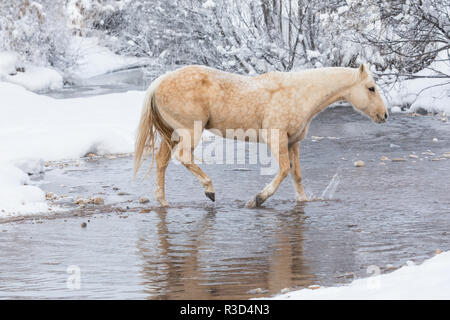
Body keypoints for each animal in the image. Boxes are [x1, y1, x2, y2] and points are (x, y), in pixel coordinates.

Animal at [134, 64, 386, 208]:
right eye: (371, 88)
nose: (384, 114)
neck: (299, 94)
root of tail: (160, 81)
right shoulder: (276, 139)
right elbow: (284, 170)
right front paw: (257, 199)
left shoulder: (293, 142)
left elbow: (296, 175)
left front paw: (303, 201)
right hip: (190, 132)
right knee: (184, 158)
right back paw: (209, 190)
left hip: (173, 134)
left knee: (162, 162)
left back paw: (163, 201)